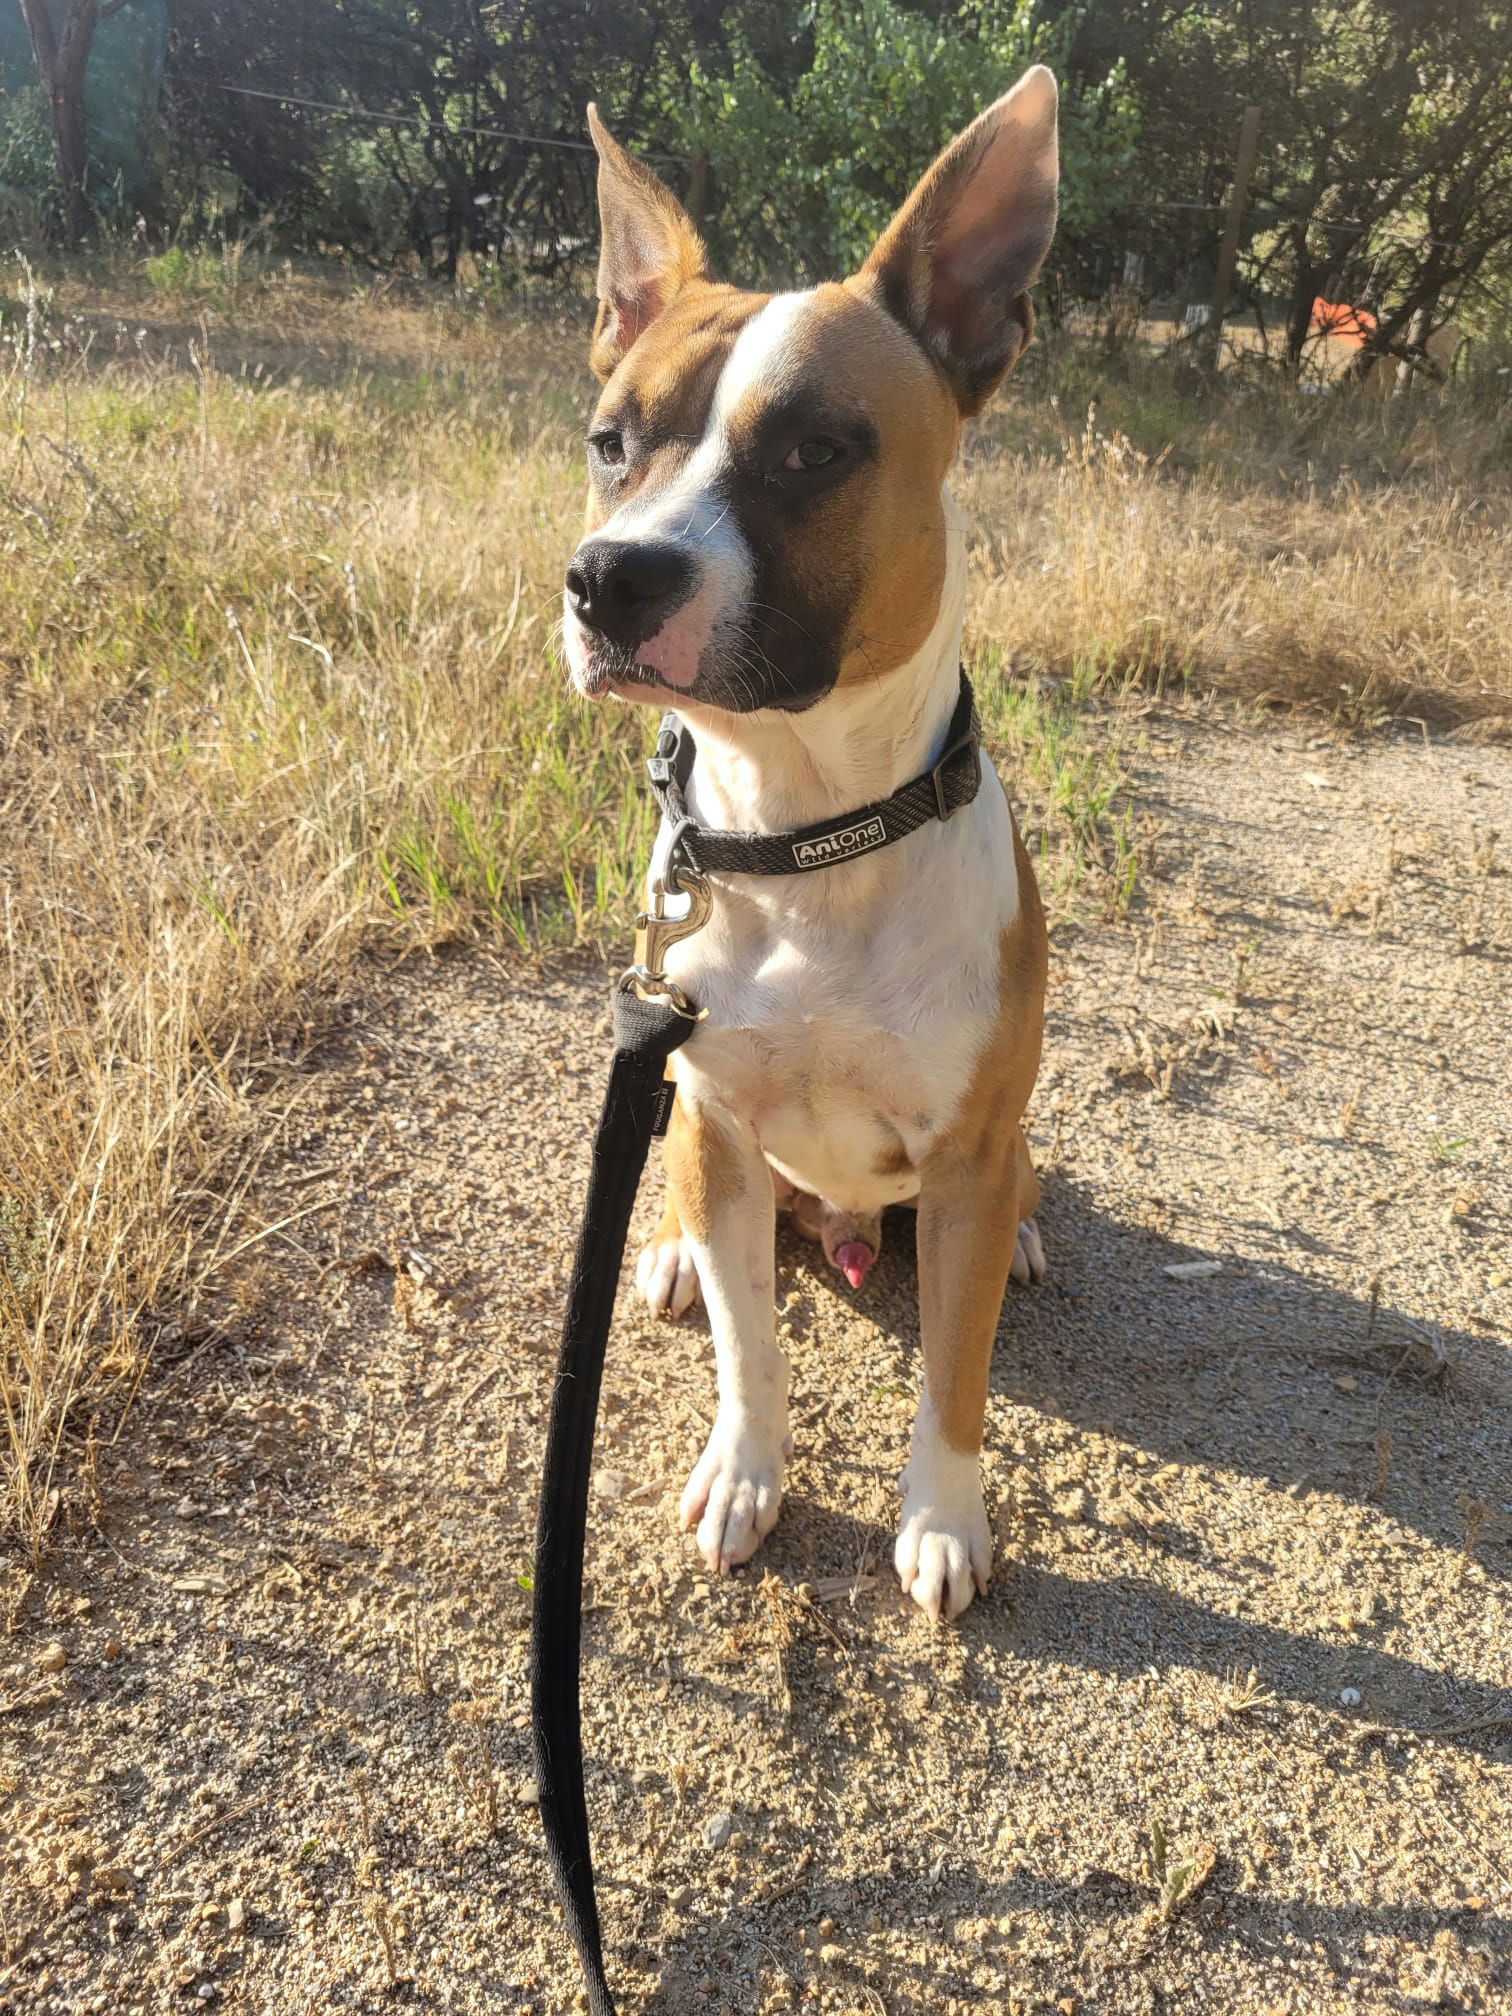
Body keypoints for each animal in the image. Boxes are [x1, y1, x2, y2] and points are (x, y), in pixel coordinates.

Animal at [564, 71, 1056, 1628]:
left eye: (811, 451)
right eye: (611, 441)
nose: (608, 580)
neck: (809, 835)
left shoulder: (962, 1161)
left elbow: (954, 1373)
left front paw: (945, 1520)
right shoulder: (720, 1129)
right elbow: (751, 1346)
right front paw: (745, 1472)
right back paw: (662, 1255)